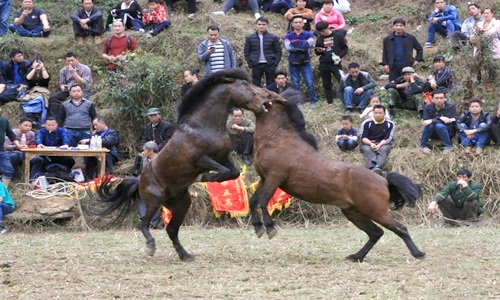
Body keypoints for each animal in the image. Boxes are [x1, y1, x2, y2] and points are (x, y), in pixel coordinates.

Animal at [95, 69, 272, 262]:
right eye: (245, 85)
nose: (267, 96)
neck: (203, 125)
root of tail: (139, 180)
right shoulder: (200, 159)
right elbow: (224, 171)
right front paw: (205, 177)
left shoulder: (223, 156)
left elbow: (233, 172)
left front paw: (208, 178)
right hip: (154, 200)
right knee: (144, 223)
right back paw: (151, 247)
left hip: (181, 204)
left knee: (171, 229)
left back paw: (185, 255)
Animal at [250, 89, 426, 262]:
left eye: (266, 93)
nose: (248, 88)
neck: (279, 140)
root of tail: (384, 181)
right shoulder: (264, 178)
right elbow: (253, 200)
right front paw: (258, 226)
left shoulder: (274, 177)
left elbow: (263, 200)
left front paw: (269, 227)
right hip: (354, 212)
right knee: (376, 233)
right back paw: (357, 256)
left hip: (377, 212)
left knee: (399, 228)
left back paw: (418, 254)